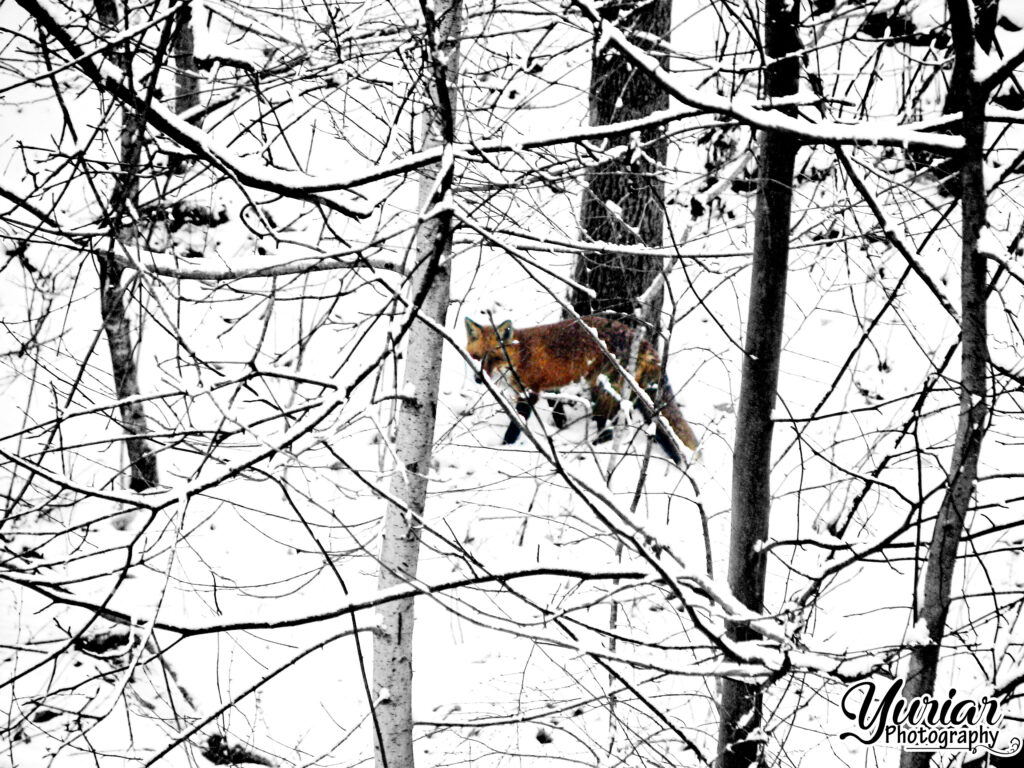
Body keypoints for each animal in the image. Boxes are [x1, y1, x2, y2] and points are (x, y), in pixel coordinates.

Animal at [464, 315, 699, 463]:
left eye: (494, 357)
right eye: (476, 356)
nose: (478, 379)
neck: (520, 355)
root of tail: (644, 343)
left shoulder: (529, 391)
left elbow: (516, 424)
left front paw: (505, 445)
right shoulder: (551, 383)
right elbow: (556, 405)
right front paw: (561, 423)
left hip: (603, 390)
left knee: (608, 431)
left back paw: (591, 449)